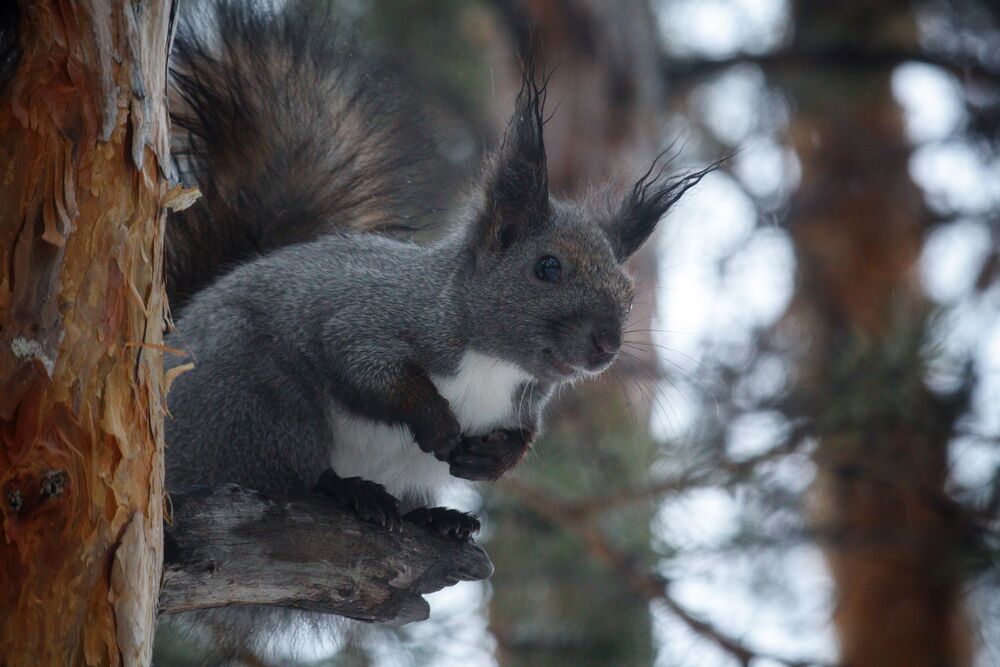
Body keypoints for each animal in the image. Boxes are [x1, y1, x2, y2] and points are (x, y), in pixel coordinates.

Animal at [160, 0, 711, 659]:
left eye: (629, 296)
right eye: (547, 267)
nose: (606, 346)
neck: (495, 362)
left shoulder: (522, 402)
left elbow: (523, 436)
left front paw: (490, 458)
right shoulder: (367, 318)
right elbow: (372, 372)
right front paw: (439, 423)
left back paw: (438, 518)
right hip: (255, 405)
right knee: (286, 476)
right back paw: (349, 491)